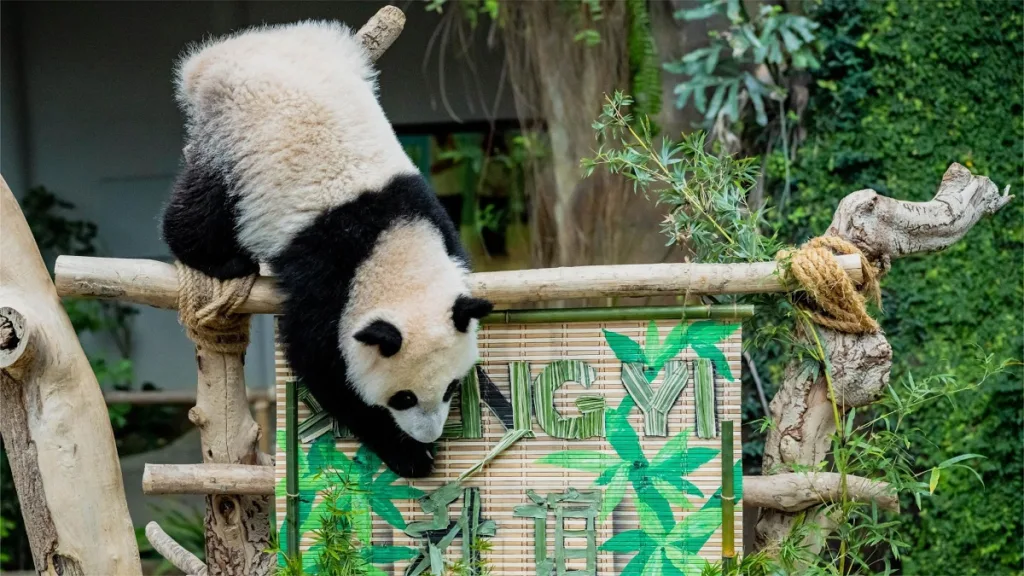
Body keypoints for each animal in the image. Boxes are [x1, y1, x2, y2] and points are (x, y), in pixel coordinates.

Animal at [160, 20, 493, 478]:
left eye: (450, 388)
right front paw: (409, 454)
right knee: (202, 205)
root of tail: (226, 51)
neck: (392, 246)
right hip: (232, 138)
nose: (429, 434)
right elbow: (320, 360)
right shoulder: (325, 269)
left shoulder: (431, 218)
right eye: (403, 398)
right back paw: (222, 258)